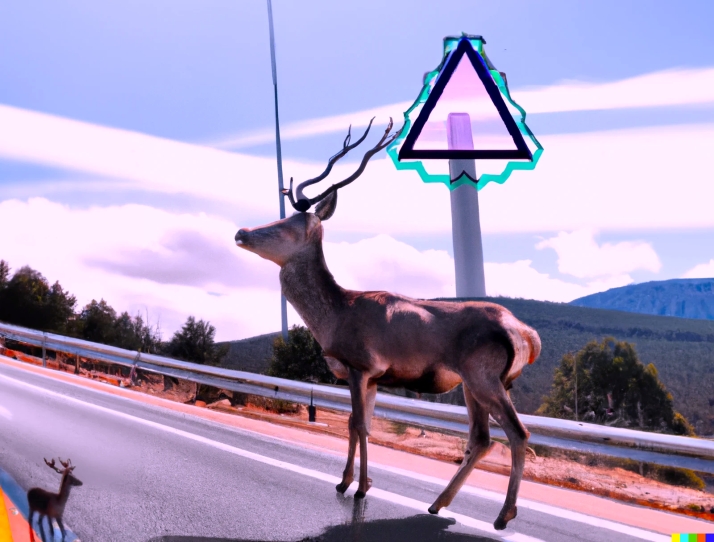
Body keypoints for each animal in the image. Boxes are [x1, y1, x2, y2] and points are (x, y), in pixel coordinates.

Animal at [234, 118, 541, 530]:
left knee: (517, 432)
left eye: (288, 224)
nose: (241, 232)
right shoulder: (372, 377)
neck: (333, 317)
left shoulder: (360, 365)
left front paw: (359, 487)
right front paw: (348, 481)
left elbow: (361, 425)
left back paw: (503, 515)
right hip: (475, 384)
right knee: (481, 438)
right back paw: (437, 504)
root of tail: (526, 335)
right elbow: (354, 421)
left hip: (484, 376)